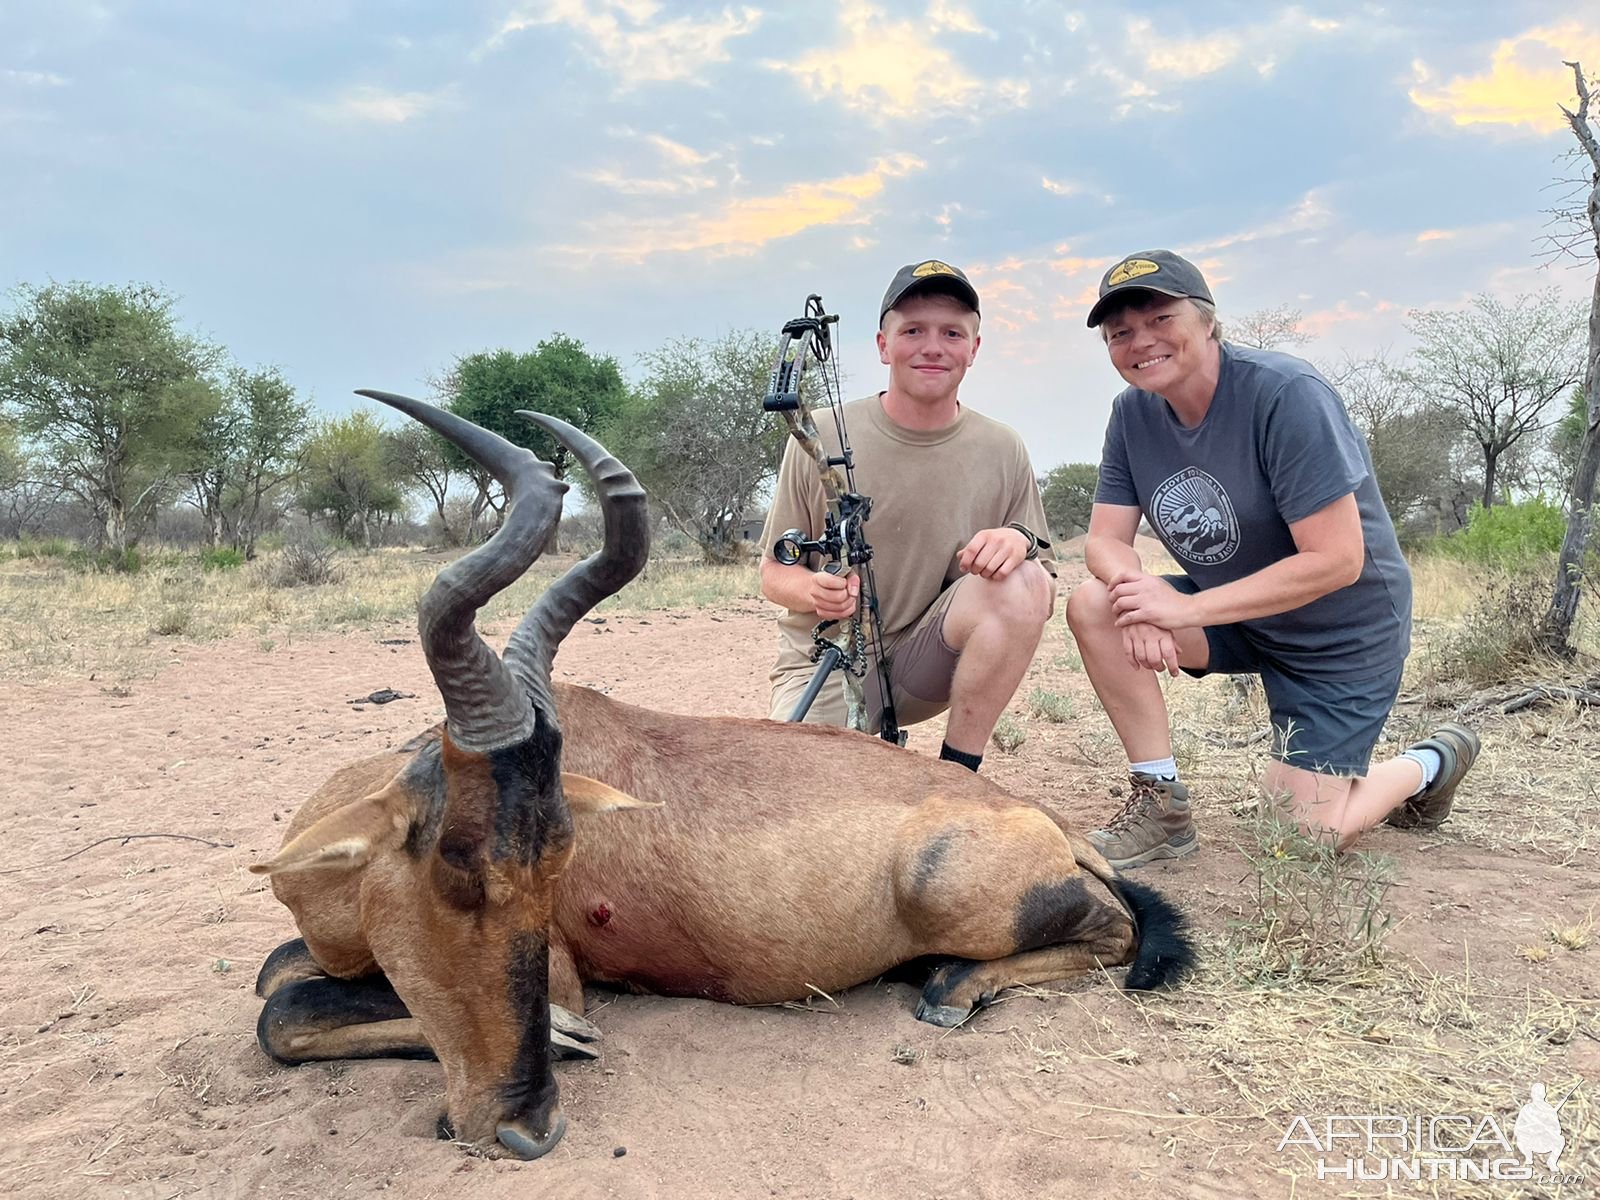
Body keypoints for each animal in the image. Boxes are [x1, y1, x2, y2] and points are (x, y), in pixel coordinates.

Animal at [249, 395, 1196, 1164]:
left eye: (548, 873)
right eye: (458, 865)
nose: (527, 1128)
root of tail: (1046, 824)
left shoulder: (562, 971)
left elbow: (279, 1012)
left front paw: (568, 1038)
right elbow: (274, 983)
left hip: (952, 886)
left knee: (1115, 930)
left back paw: (951, 990)